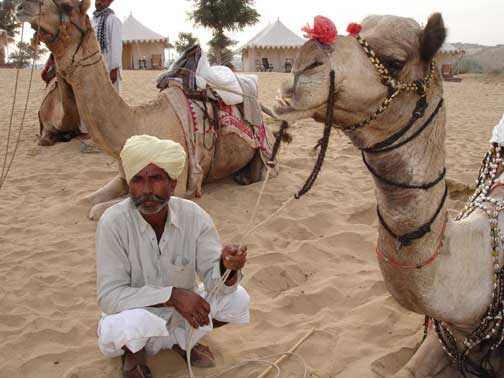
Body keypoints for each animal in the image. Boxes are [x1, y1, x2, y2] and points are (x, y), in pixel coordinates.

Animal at [16, 0, 268, 220]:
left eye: (67, 5)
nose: (20, 7)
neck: (137, 127)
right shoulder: (122, 176)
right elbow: (84, 201)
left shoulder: (178, 187)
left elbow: (98, 210)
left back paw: (245, 177)